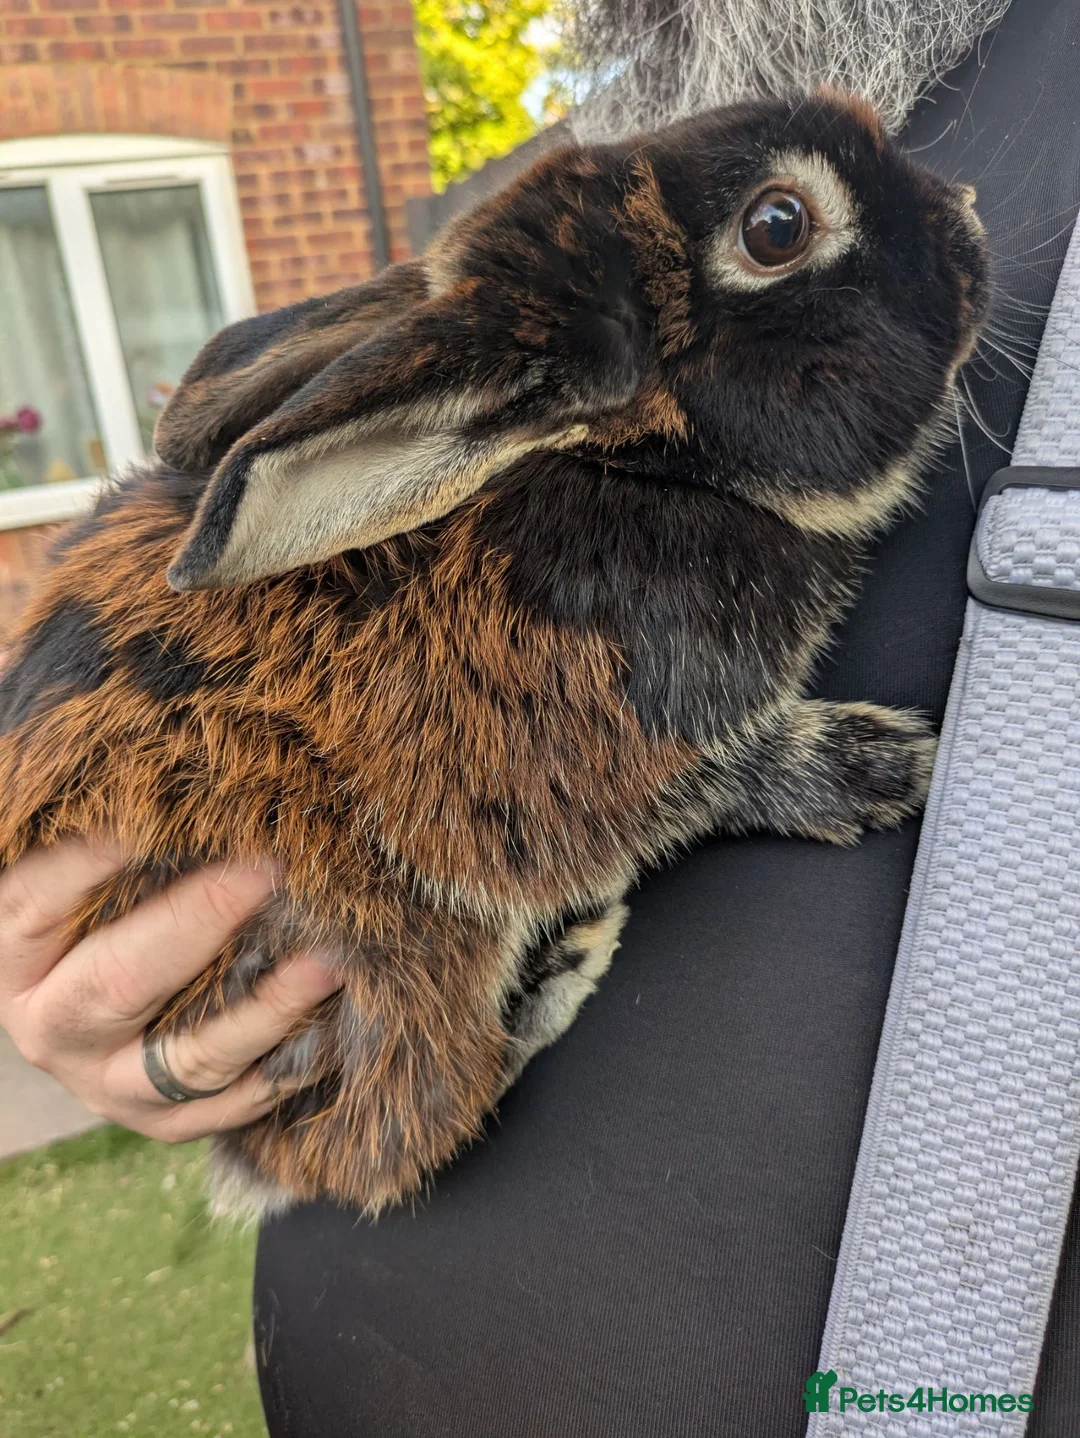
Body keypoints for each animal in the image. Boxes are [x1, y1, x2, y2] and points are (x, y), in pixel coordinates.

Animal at [0, 89, 988, 1220]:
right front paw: (886, 766)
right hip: (400, 957)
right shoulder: (569, 779)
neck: (623, 466)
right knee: (396, 1132)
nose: (966, 217)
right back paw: (562, 968)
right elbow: (719, 780)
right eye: (778, 225)